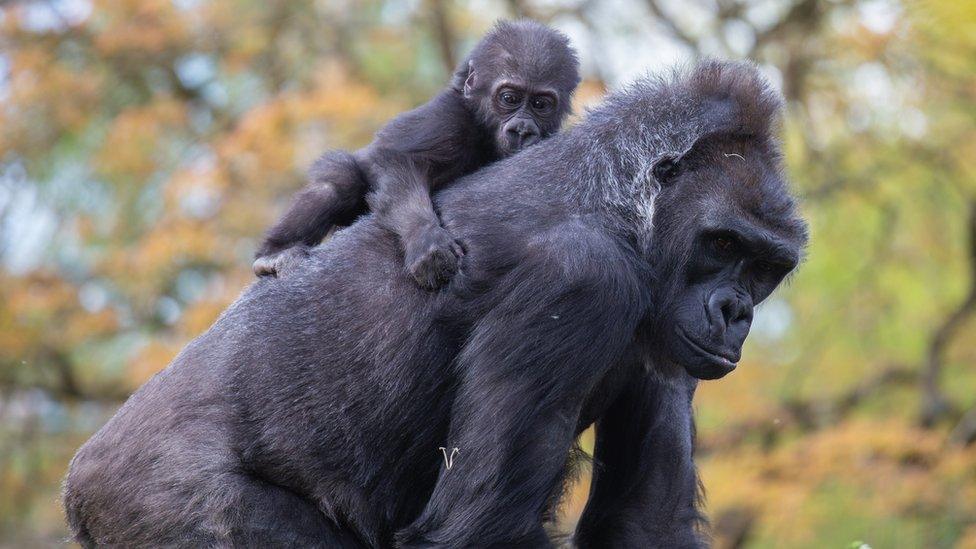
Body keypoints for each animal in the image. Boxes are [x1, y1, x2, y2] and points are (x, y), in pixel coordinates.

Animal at [63, 61, 808, 548]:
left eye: (765, 267)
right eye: (721, 241)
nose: (735, 311)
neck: (627, 211)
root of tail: (79, 484)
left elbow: (644, 522)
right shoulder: (580, 280)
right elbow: (474, 527)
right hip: (156, 498)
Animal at [254, 20, 580, 286]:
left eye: (540, 104)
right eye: (509, 98)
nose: (523, 129)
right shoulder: (447, 120)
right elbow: (399, 161)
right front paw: (427, 241)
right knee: (339, 183)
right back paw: (274, 253)